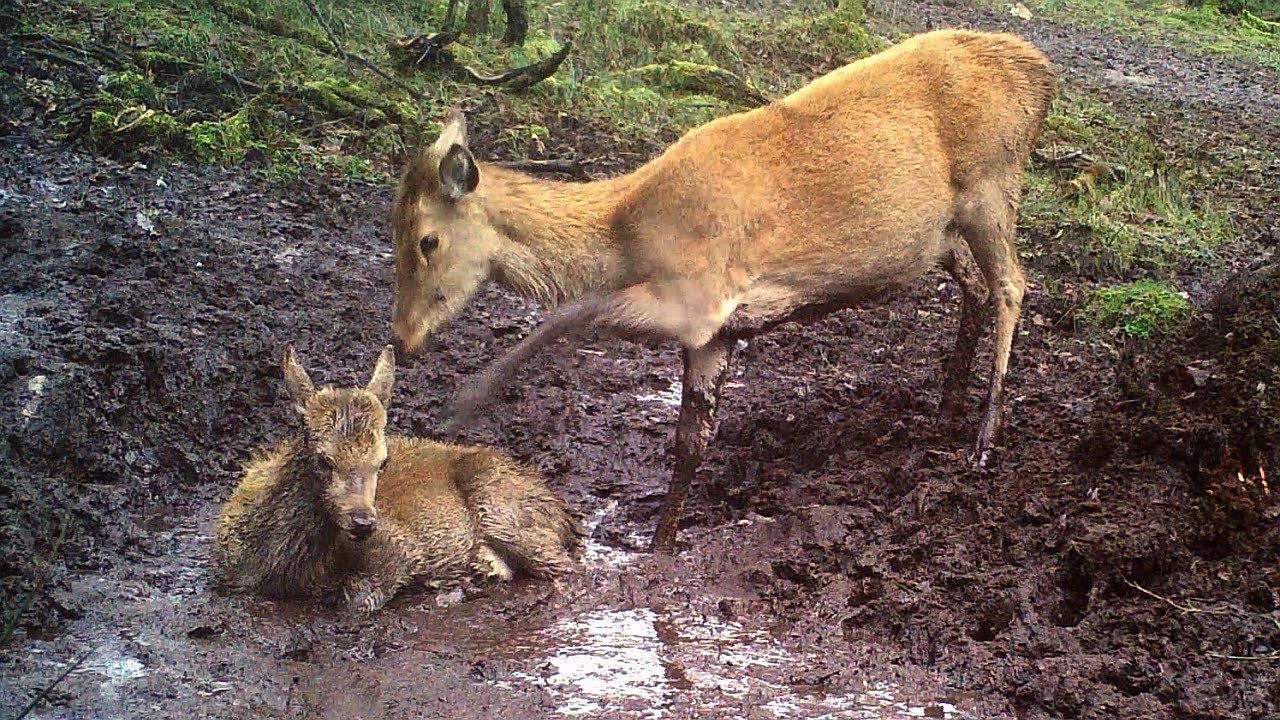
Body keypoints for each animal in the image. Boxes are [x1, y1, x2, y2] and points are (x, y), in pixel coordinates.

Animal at [215, 344, 581, 613]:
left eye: (382, 461)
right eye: (323, 458)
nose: (362, 521)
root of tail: (560, 511)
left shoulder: (399, 544)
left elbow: (357, 601)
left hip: (501, 508)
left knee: (567, 566)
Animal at [388, 29, 1056, 554]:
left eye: (427, 241)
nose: (402, 338)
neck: (628, 232)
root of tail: (1041, 72)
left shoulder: (699, 299)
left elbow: (571, 314)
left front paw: (460, 405)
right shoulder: (716, 333)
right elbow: (692, 442)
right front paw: (659, 545)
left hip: (993, 185)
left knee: (1012, 285)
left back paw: (984, 438)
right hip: (938, 233)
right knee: (975, 285)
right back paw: (945, 410)